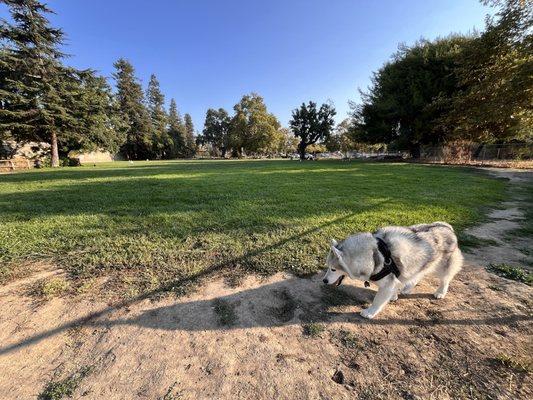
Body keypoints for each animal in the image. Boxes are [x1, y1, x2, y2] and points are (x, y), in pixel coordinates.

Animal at [322, 222, 464, 318]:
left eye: (333, 269)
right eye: (327, 267)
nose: (324, 281)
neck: (374, 255)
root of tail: (446, 226)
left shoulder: (387, 283)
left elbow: (378, 300)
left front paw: (370, 312)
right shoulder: (395, 277)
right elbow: (395, 285)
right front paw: (394, 295)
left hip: (442, 266)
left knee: (445, 279)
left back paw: (440, 292)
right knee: (417, 275)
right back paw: (407, 288)